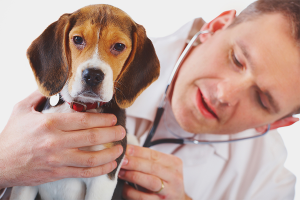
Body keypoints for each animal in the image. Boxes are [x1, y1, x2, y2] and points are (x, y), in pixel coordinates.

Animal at [9, 4, 159, 200]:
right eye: (78, 39)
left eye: (119, 46)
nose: (93, 75)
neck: (80, 108)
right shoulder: (28, 178)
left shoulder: (102, 178)